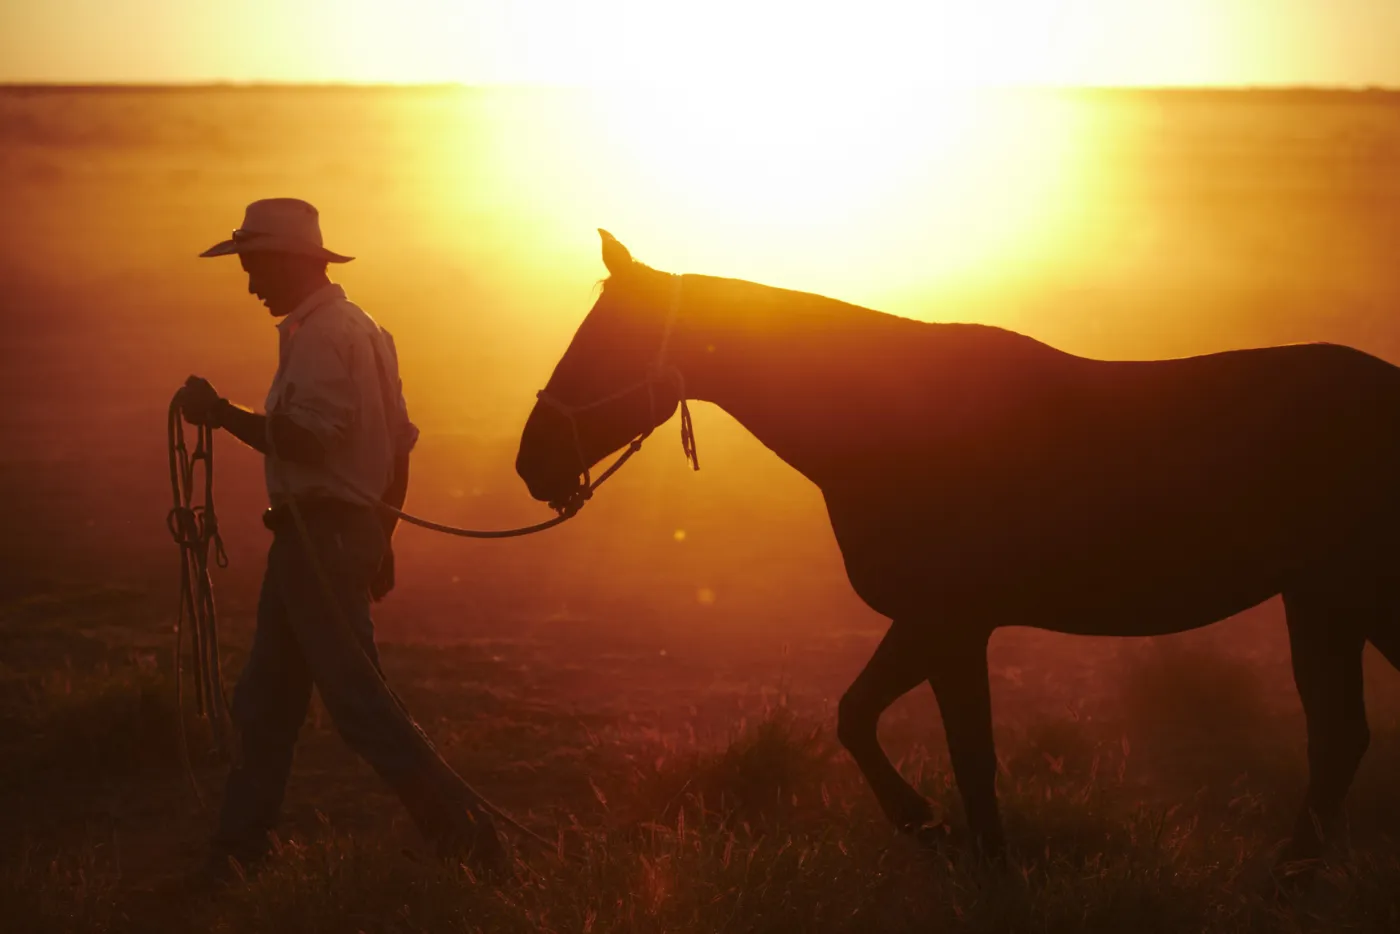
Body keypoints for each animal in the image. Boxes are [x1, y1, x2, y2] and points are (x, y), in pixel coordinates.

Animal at [515, 230, 1400, 866]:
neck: (892, 424)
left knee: (1340, 737)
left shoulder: (949, 624)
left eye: (607, 343)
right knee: (1339, 738)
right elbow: (869, 720)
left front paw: (955, 843)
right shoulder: (933, 627)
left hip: (1356, 600)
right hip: (1323, 604)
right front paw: (939, 833)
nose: (532, 463)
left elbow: (960, 752)